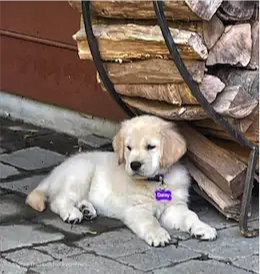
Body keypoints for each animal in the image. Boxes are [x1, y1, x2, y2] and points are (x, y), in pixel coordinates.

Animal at [26, 115, 217, 246]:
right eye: (129, 148)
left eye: (151, 147)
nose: (134, 164)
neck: (155, 181)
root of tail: (55, 172)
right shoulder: (137, 209)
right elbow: (150, 221)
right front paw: (158, 235)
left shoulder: (174, 207)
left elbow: (191, 216)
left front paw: (203, 228)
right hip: (81, 173)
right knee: (59, 200)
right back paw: (72, 213)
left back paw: (87, 209)